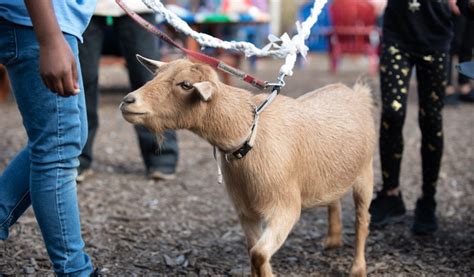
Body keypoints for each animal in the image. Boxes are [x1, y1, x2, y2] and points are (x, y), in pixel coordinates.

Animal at [120, 55, 376, 274]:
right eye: (155, 75)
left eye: (185, 85)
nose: (128, 101)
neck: (249, 137)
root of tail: (355, 94)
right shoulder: (246, 211)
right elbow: (253, 252)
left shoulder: (285, 209)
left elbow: (259, 253)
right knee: (334, 200)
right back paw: (332, 240)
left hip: (365, 173)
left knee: (362, 221)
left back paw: (358, 268)